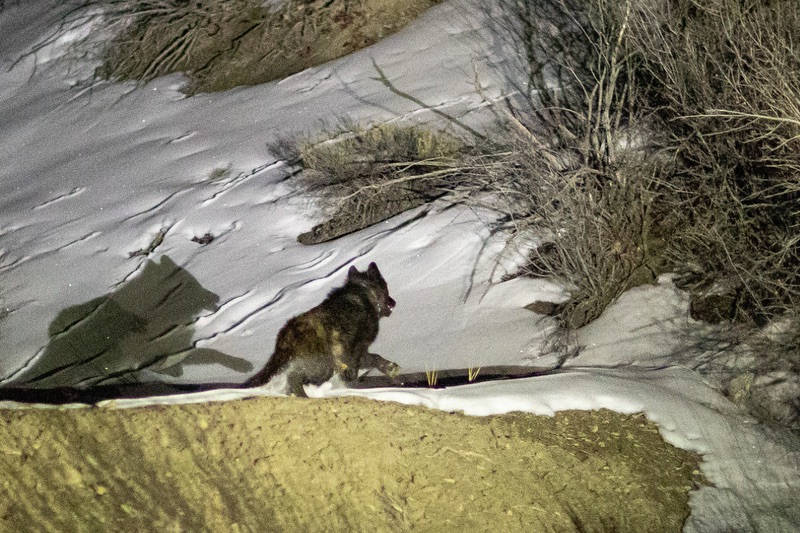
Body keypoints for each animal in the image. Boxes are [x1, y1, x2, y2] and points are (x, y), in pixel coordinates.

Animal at [244, 262, 400, 396]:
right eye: (386, 288)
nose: (394, 302)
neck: (366, 292)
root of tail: (286, 334)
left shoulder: (360, 351)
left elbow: (375, 358)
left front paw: (390, 368)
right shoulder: (351, 348)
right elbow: (357, 364)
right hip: (322, 365)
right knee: (294, 377)